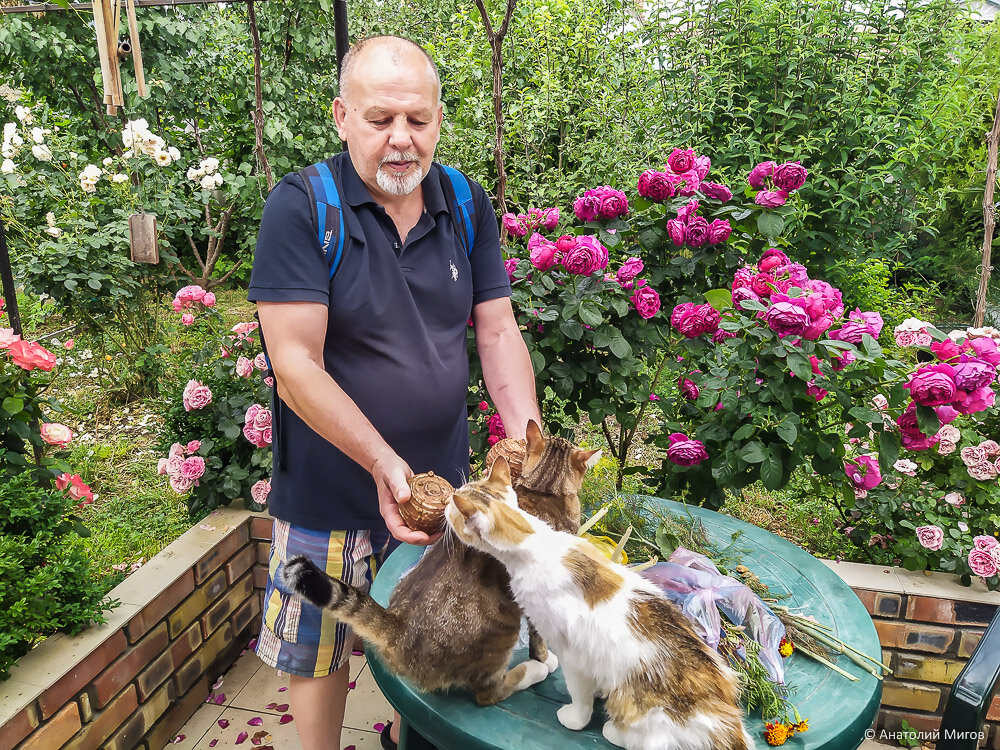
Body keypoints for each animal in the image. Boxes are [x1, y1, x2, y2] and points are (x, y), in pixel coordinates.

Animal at [278, 426, 596, 708]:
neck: (543, 490)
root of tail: (398, 627)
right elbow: (539, 637)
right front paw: (545, 659)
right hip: (501, 631)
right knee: (487, 693)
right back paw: (532, 672)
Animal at [446, 462, 752, 748]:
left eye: (453, 505)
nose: (447, 502)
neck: (535, 540)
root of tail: (728, 725)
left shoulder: (572, 655)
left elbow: (579, 696)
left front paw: (575, 717)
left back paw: (613, 730)